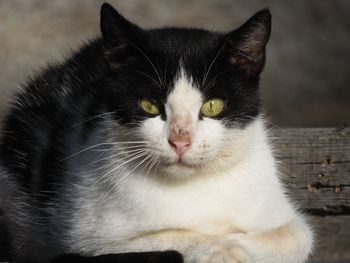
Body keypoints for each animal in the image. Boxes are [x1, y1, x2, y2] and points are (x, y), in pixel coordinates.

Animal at [0, 2, 314, 263]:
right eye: (149, 105)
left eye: (213, 106)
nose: (180, 141)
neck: (194, 187)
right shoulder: (89, 238)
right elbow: (170, 238)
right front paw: (223, 249)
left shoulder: (283, 215)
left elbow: (297, 236)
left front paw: (235, 242)